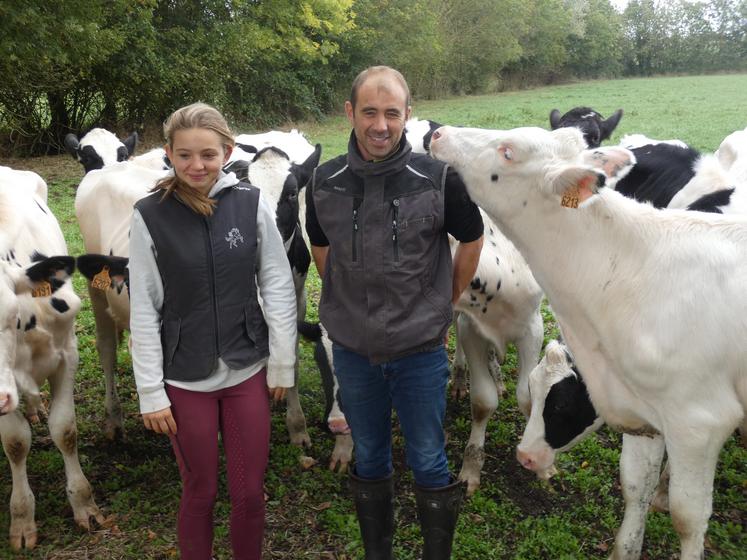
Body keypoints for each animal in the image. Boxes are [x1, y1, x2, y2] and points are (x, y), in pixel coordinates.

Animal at [0, 171, 105, 548]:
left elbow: (65, 430)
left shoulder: (67, 354)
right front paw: (21, 519)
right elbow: (16, 443)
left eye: (8, 314)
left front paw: (84, 504)